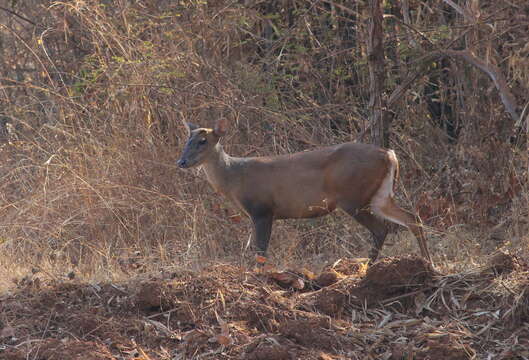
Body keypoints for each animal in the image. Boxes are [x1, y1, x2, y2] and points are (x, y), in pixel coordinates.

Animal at [177, 119, 428, 262]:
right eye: (187, 139)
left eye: (202, 140)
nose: (181, 161)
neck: (235, 178)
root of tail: (390, 154)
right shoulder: (257, 213)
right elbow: (253, 249)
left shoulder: (262, 209)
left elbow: (260, 251)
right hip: (380, 195)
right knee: (412, 218)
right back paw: (427, 262)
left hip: (353, 197)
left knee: (381, 228)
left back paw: (369, 266)